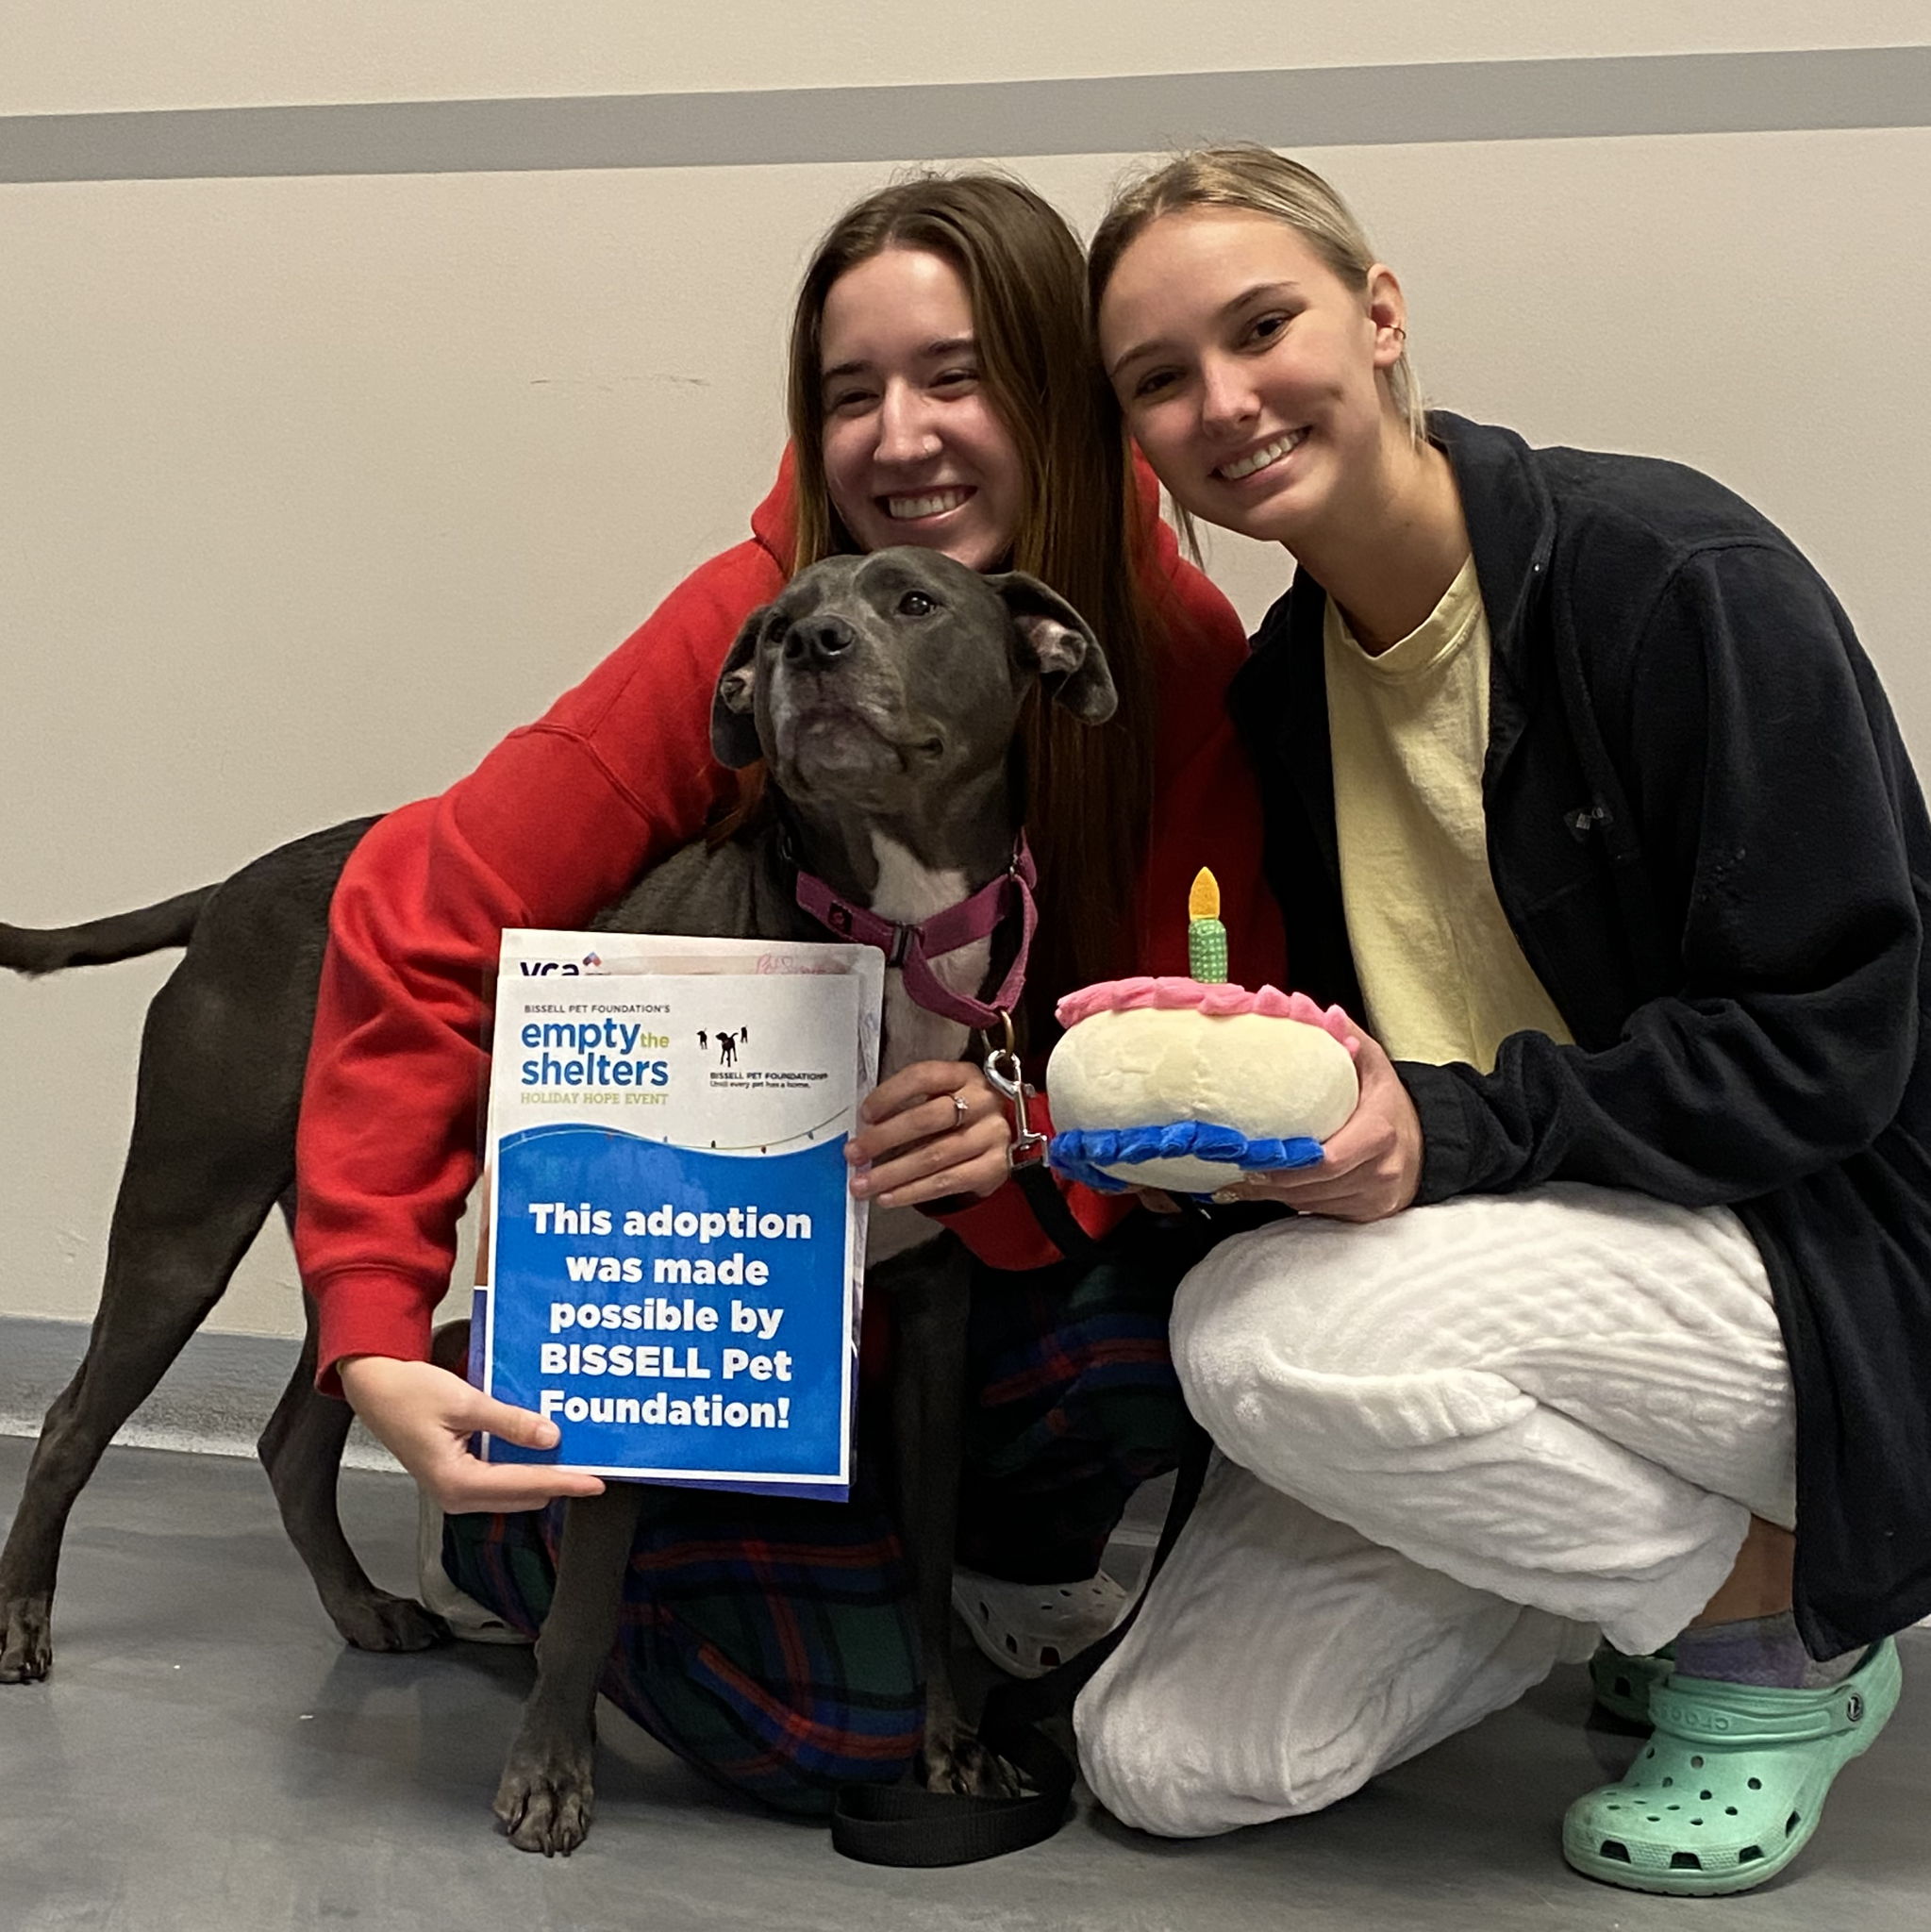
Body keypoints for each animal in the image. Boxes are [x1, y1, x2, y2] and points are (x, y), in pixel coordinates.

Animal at [0, 548, 1120, 1855]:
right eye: (778, 624)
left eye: (915, 601)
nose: (813, 648)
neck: (889, 935)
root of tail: (232, 889)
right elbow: (589, 1578)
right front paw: (547, 1773)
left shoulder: (935, 1318)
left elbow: (934, 1553)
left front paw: (950, 1744)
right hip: (190, 1210)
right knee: (75, 1417)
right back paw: (24, 1616)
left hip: (353, 1204)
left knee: (296, 1432)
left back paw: (362, 1607)